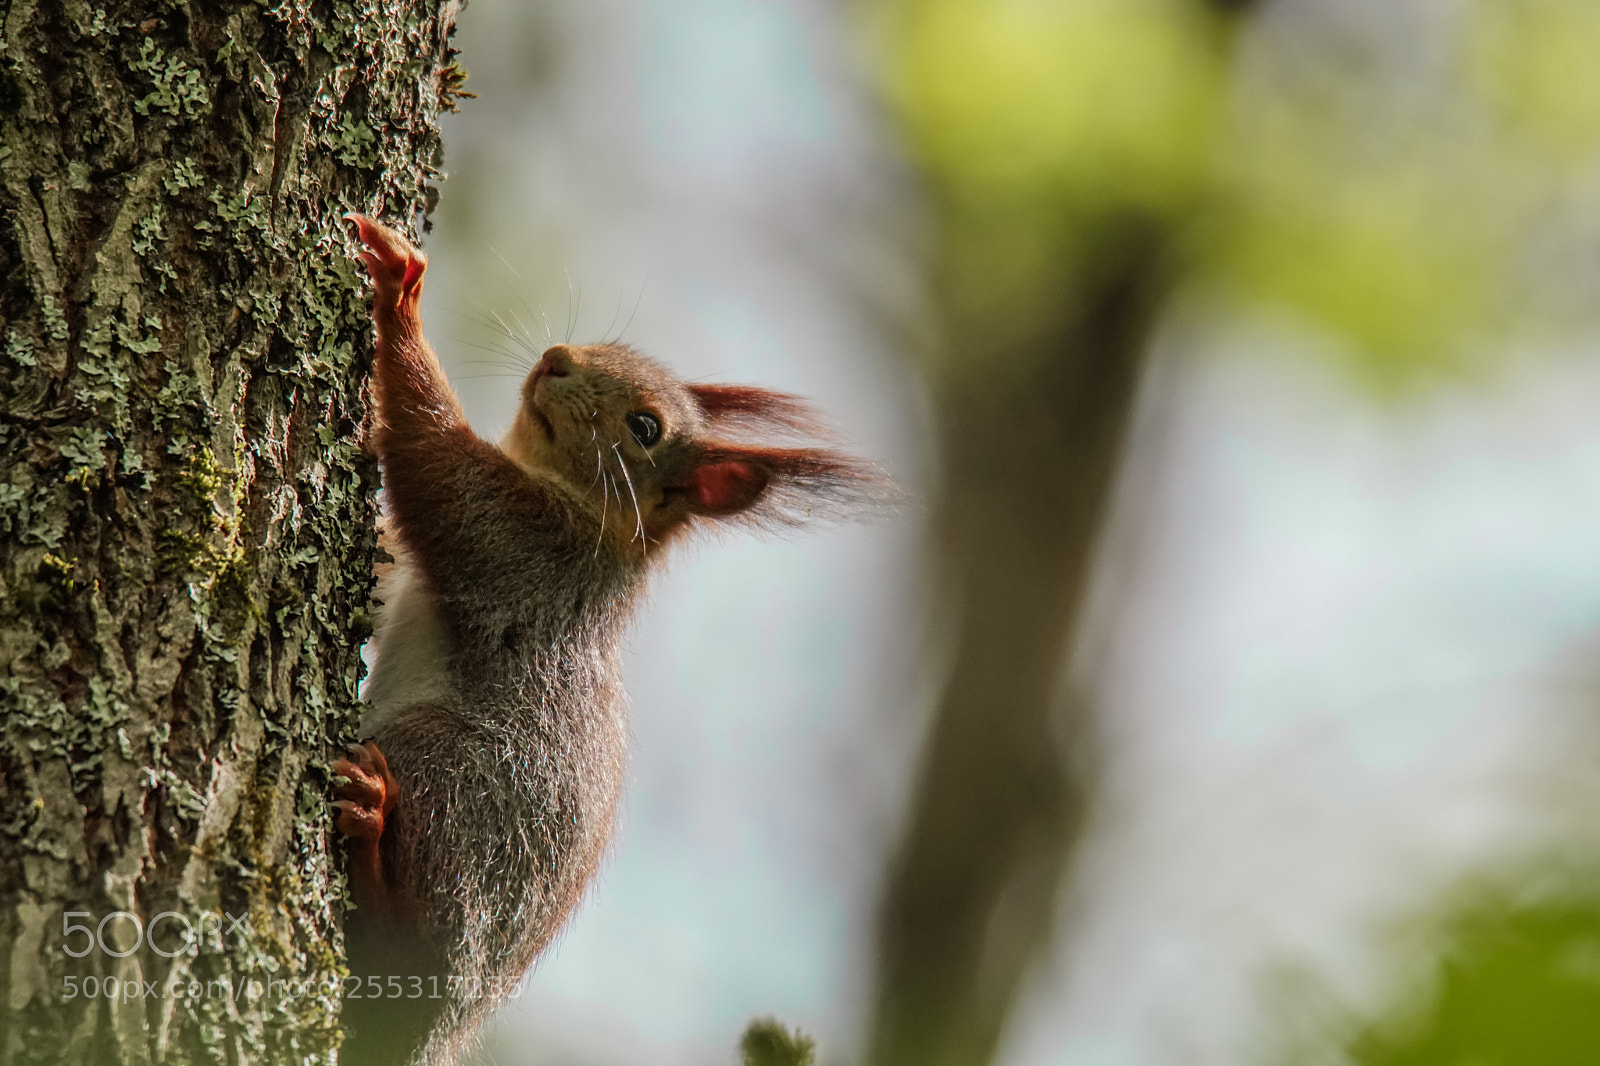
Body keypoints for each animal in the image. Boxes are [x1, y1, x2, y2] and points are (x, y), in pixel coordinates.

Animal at [330, 215, 886, 1066]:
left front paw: (401, 298)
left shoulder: (523, 547)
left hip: (455, 777)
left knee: (416, 922)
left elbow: (434, 460)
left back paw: (370, 828)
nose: (558, 358)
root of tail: (432, 1031)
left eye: (645, 428)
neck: (589, 517)